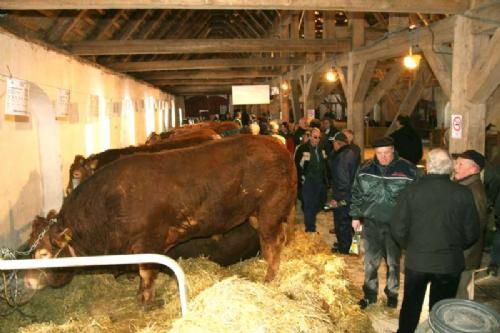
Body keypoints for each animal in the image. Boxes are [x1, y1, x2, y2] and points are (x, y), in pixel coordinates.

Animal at [24, 136, 296, 302]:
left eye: (44, 253)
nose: (26, 281)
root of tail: (278, 147)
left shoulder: (149, 240)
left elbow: (146, 272)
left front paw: (143, 300)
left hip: (271, 208)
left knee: (273, 244)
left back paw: (268, 278)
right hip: (256, 214)